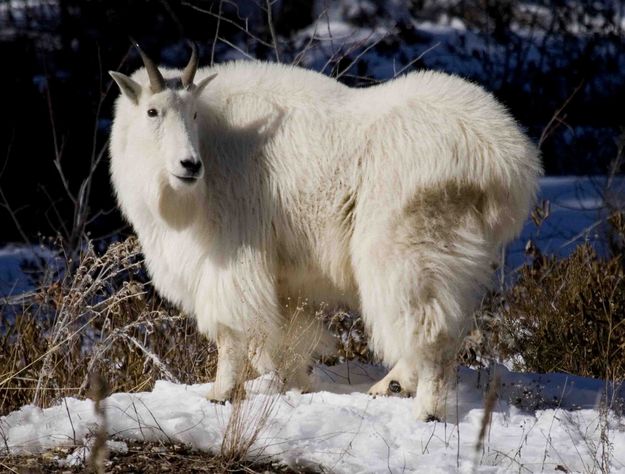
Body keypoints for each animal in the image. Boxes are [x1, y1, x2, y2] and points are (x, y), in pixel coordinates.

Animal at [108, 44, 540, 420]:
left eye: (194, 113)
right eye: (152, 111)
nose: (189, 165)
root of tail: (502, 160)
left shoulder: (232, 253)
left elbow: (232, 332)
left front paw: (221, 393)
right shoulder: (283, 279)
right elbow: (285, 339)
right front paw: (296, 382)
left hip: (407, 247)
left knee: (428, 329)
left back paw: (425, 409)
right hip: (454, 256)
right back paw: (392, 385)